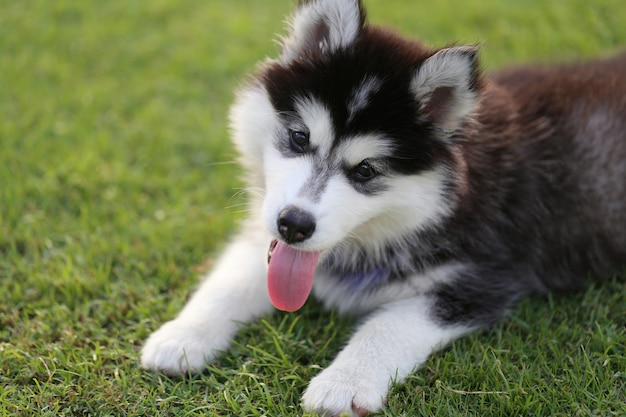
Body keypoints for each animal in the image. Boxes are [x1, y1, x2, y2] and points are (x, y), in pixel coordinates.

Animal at [143, 0, 624, 414]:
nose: (294, 225)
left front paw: (345, 383)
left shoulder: (482, 278)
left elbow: (388, 326)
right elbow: (231, 280)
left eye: (366, 170)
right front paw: (183, 335)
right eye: (299, 137)